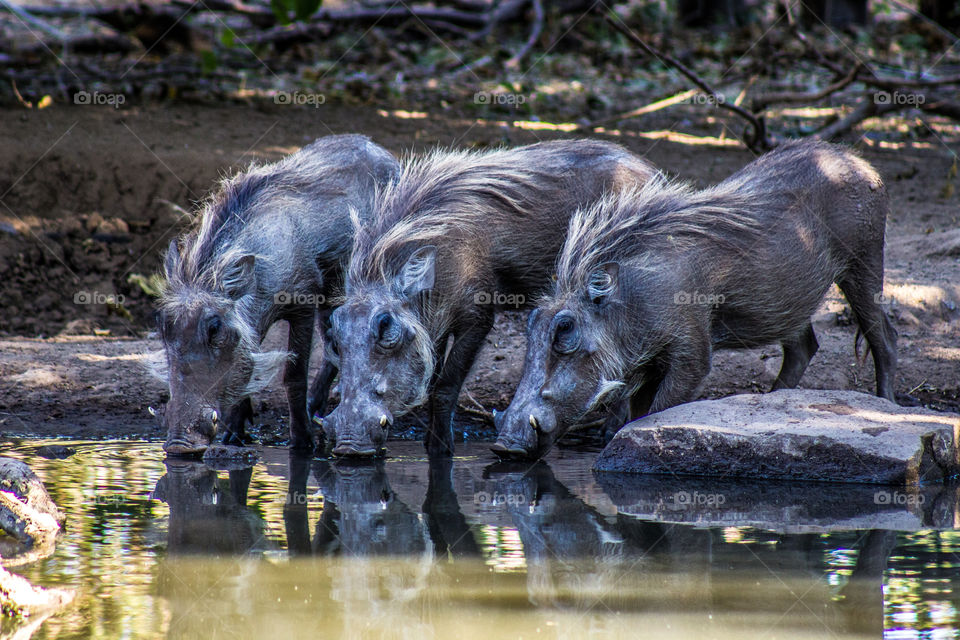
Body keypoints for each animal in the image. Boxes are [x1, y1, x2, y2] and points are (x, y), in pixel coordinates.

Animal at [150, 135, 400, 455]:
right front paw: (235, 434)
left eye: (215, 328)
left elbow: (294, 376)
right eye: (162, 324)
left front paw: (303, 442)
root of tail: (379, 148)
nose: (180, 445)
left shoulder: (303, 304)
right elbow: (248, 365)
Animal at [323, 140, 656, 457]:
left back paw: (610, 431)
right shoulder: (433, 326)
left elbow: (445, 385)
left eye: (386, 328)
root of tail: (648, 170)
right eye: (335, 337)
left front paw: (442, 450)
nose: (349, 447)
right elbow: (432, 379)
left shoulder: (477, 317)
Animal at [494, 140, 897, 459]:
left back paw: (889, 406)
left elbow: (656, 412)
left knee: (884, 338)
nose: (504, 446)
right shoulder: (646, 365)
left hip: (864, 263)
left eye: (566, 329)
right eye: (531, 323)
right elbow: (639, 411)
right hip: (789, 302)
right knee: (803, 347)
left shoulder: (691, 356)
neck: (631, 298)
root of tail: (856, 159)